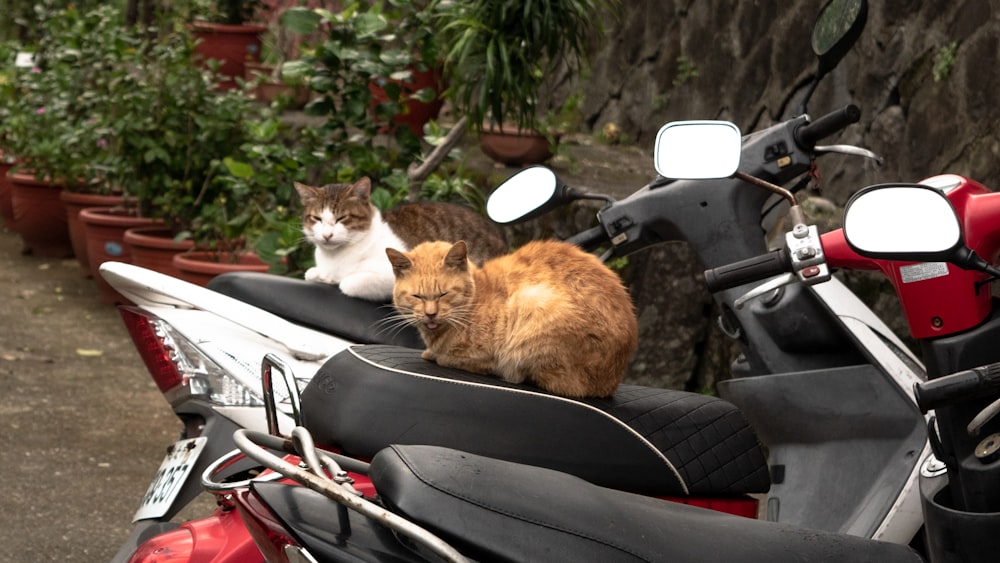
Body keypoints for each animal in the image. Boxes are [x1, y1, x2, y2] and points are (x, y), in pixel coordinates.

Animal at [292, 178, 504, 302]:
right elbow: (311, 273)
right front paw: (323, 276)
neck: (335, 257)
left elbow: (348, 283)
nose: (327, 235)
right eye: (317, 218)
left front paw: (338, 279)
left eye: (342, 218)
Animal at [386, 240, 636, 398]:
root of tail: (611, 383)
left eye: (443, 294)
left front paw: (433, 354)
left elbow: (447, 357)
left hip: (532, 305)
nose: (430, 313)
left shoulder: (483, 354)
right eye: (417, 296)